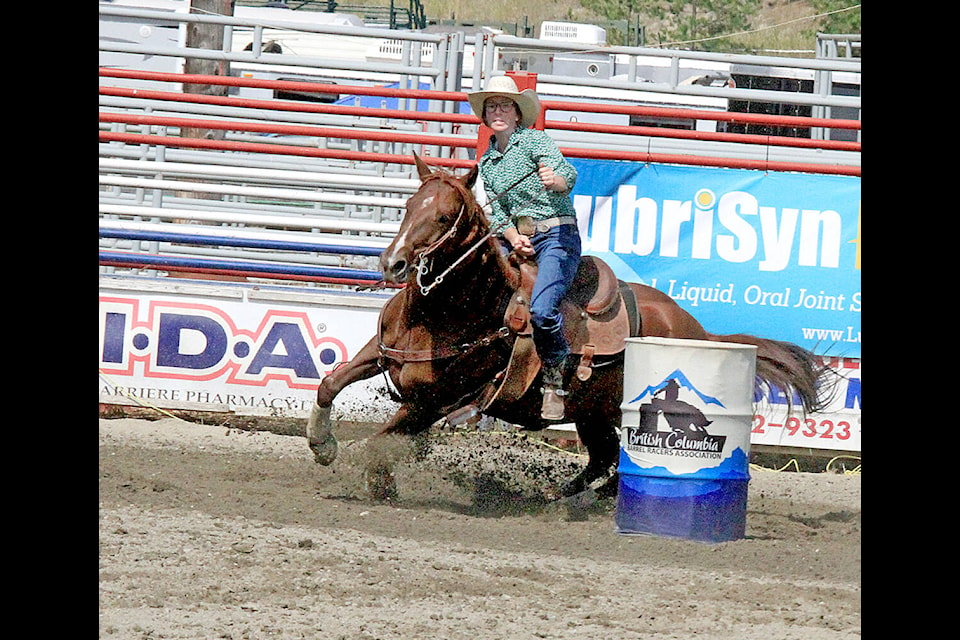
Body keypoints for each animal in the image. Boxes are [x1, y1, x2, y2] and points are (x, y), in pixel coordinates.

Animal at [306, 154, 832, 500]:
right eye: (408, 207)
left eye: (444, 217)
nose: (393, 264)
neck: (448, 314)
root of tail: (699, 332)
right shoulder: (383, 353)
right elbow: (331, 383)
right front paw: (322, 443)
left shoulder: (437, 400)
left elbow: (384, 440)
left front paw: (376, 477)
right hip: (594, 411)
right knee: (603, 456)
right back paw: (567, 497)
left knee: (616, 461)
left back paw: (584, 499)